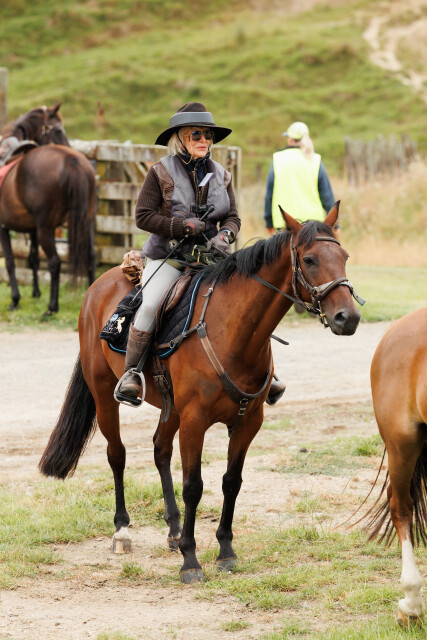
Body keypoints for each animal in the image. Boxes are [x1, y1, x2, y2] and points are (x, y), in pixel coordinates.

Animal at [0, 105, 96, 314]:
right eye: (58, 130)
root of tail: (71, 159)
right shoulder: (32, 228)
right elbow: (33, 259)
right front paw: (35, 293)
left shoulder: (4, 227)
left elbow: (10, 262)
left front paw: (15, 300)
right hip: (85, 221)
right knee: (90, 255)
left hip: (46, 228)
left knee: (54, 262)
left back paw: (52, 307)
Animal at [39, 204, 362, 584]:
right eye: (310, 259)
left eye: (344, 256)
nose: (348, 317)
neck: (233, 332)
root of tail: (98, 286)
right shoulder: (195, 421)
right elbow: (193, 485)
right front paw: (191, 560)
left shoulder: (247, 422)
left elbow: (231, 482)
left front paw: (225, 551)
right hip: (105, 394)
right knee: (117, 455)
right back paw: (122, 531)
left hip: (171, 408)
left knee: (159, 450)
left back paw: (173, 530)